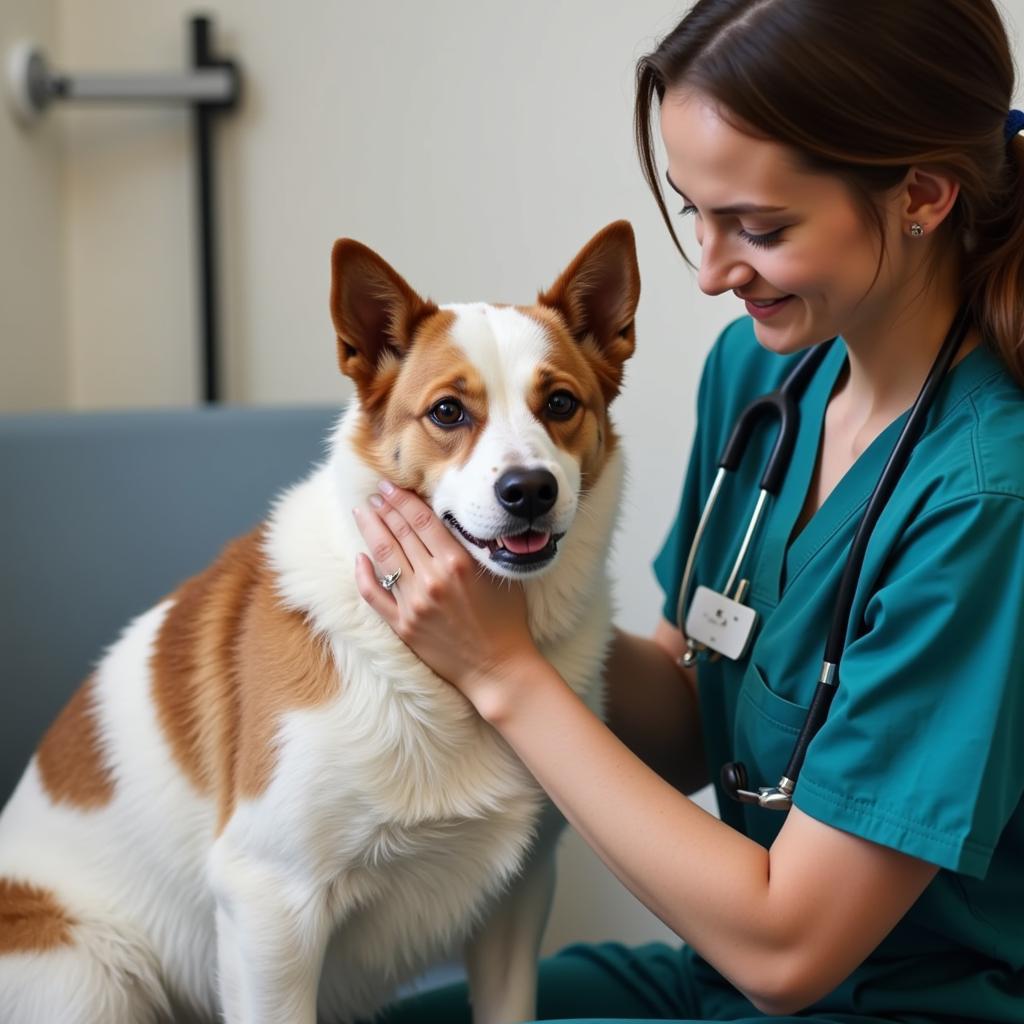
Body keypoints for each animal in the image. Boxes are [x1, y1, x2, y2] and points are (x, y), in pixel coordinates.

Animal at [0, 222, 638, 1024]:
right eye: (448, 413)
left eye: (558, 402)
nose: (529, 491)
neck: (427, 669)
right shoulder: (270, 905)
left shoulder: (517, 903)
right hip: (90, 979)